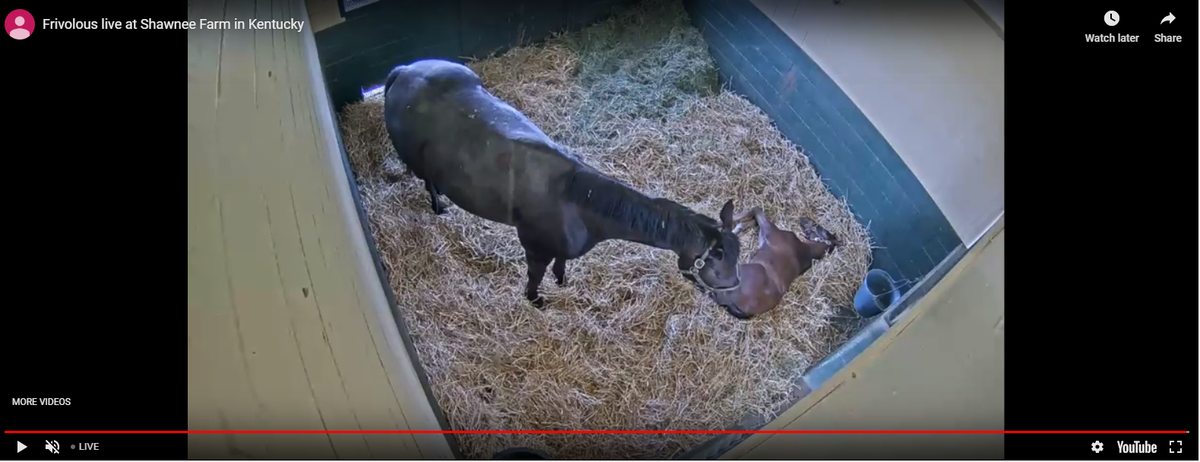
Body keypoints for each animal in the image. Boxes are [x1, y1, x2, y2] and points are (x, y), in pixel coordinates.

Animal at [382, 59, 743, 309]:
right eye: (718, 261)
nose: (737, 294)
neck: (577, 202)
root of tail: (405, 70)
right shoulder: (534, 248)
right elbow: (534, 276)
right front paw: (536, 301)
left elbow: (561, 264)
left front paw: (561, 281)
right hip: (417, 161)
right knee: (427, 182)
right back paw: (438, 206)